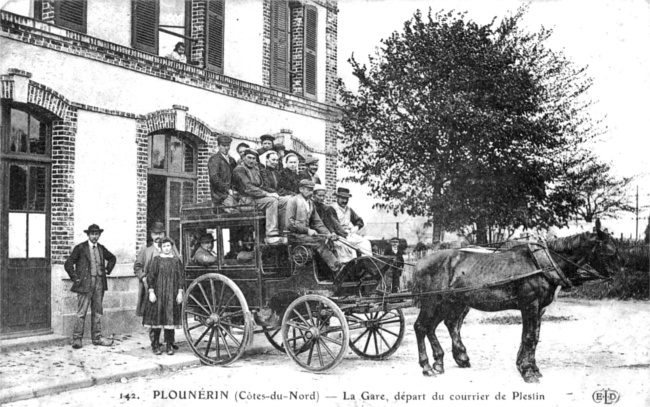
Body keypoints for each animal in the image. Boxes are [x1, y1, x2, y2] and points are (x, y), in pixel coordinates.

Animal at [410, 226, 616, 382]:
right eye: (608, 251)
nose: (615, 278)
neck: (540, 264)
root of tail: (420, 263)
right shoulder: (530, 305)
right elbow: (529, 337)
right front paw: (528, 372)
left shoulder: (539, 309)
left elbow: (533, 338)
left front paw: (530, 367)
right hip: (433, 301)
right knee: (421, 327)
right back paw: (427, 366)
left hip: (451, 302)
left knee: (437, 326)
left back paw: (443, 361)